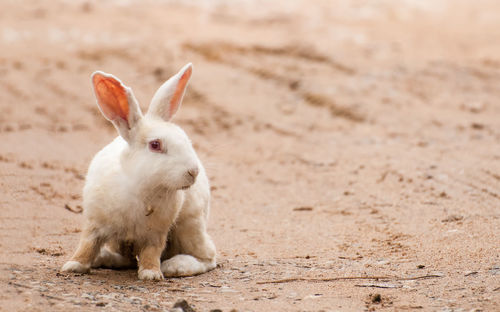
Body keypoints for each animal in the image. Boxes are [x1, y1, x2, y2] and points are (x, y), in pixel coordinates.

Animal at [60, 63, 215, 280]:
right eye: (155, 145)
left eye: (185, 138)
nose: (193, 171)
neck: (141, 186)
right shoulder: (94, 223)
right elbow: (87, 245)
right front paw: (74, 266)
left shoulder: (156, 233)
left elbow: (151, 252)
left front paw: (151, 274)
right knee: (125, 259)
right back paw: (104, 258)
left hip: (190, 225)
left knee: (208, 257)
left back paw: (175, 266)